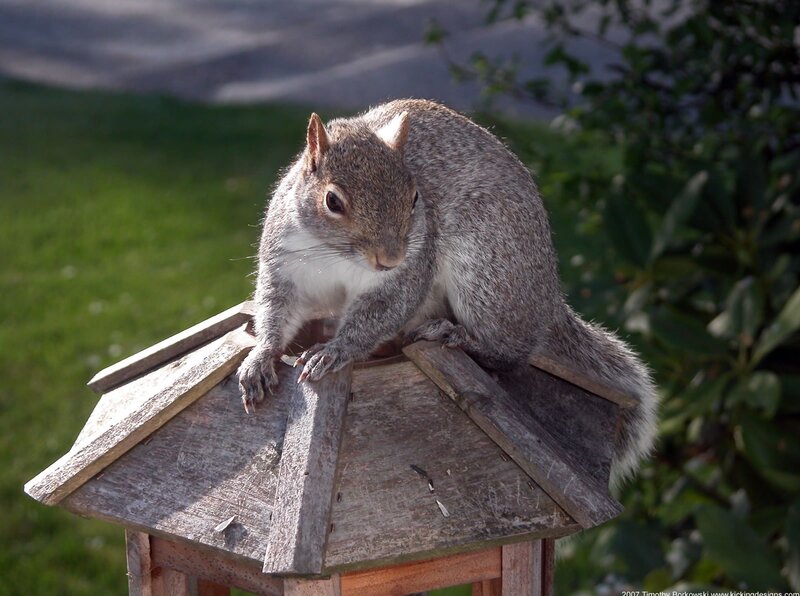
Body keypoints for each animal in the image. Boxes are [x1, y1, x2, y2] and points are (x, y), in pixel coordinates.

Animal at [237, 99, 658, 485]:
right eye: (332, 201)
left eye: (415, 197)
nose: (391, 257)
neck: (334, 256)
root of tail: (548, 294)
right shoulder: (285, 266)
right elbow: (276, 310)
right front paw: (261, 358)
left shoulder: (406, 274)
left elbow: (379, 314)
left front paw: (335, 351)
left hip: (487, 274)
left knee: (510, 353)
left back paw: (454, 335)